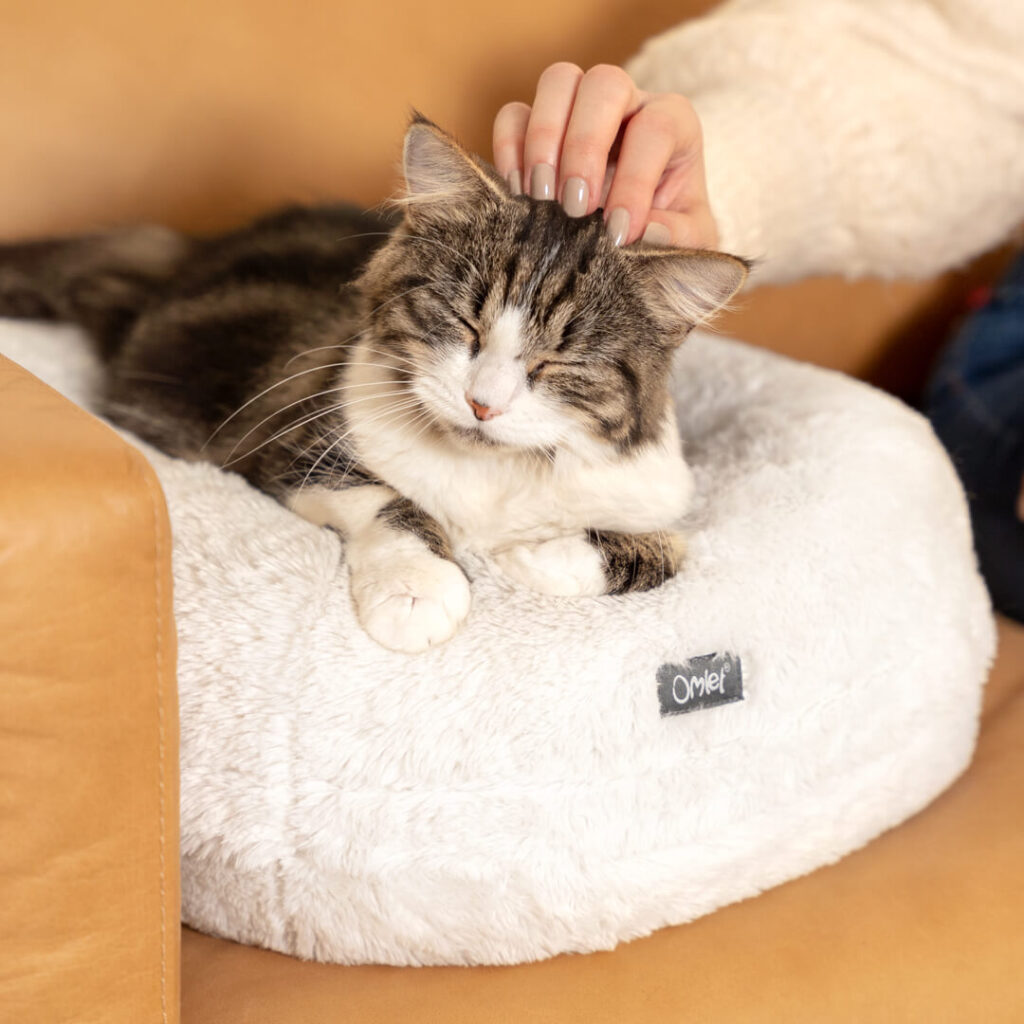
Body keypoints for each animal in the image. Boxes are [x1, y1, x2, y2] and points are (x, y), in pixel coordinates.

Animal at [0, 116, 745, 651]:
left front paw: (534, 557)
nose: (483, 403)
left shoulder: (658, 490)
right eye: (465, 324)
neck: (492, 474)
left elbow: (670, 547)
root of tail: (192, 253)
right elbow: (395, 501)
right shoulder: (296, 447)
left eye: (558, 362)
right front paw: (419, 591)